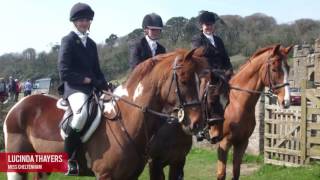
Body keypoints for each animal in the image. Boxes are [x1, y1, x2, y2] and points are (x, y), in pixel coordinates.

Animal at [4, 47, 212, 179]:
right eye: (184, 80)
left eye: (204, 81)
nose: (198, 123)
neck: (126, 120)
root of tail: (19, 104)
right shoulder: (106, 175)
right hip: (18, 164)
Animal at [211, 44, 294, 180]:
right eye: (274, 69)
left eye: (288, 68)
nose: (286, 101)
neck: (236, 102)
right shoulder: (224, 143)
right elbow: (221, 174)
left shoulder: (242, 142)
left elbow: (236, 172)